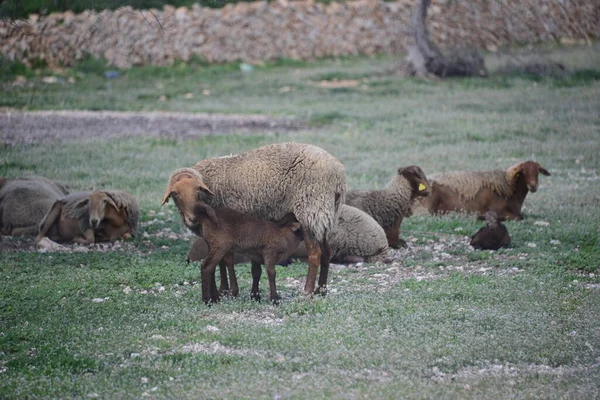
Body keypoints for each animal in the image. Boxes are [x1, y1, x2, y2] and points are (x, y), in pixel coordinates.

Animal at [162, 142, 346, 296]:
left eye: (197, 191)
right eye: (175, 194)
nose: (192, 219)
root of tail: (338, 174)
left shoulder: (226, 229)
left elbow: (227, 260)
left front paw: (231, 290)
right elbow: (222, 261)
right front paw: (224, 289)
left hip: (310, 210)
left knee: (314, 254)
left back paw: (307, 291)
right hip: (322, 215)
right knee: (326, 252)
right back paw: (321, 289)